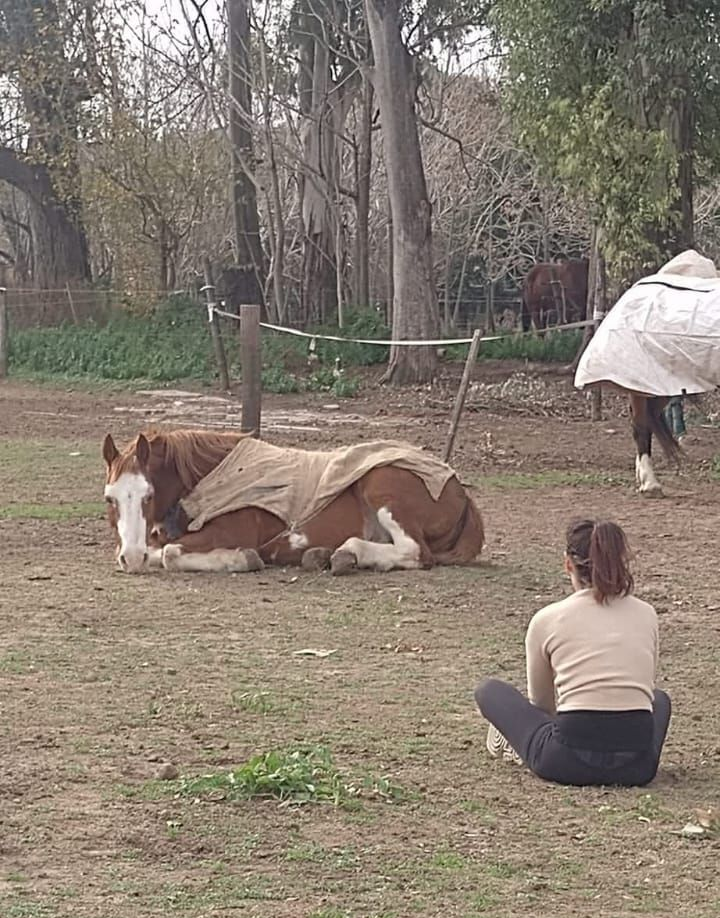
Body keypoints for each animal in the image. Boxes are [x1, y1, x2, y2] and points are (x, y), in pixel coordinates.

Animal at [101, 428, 485, 575]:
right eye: (110, 499)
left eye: (148, 494)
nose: (130, 558)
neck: (213, 473)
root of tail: (460, 491)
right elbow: (159, 550)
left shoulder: (230, 533)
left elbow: (170, 554)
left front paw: (243, 559)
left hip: (382, 485)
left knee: (416, 552)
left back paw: (347, 553)